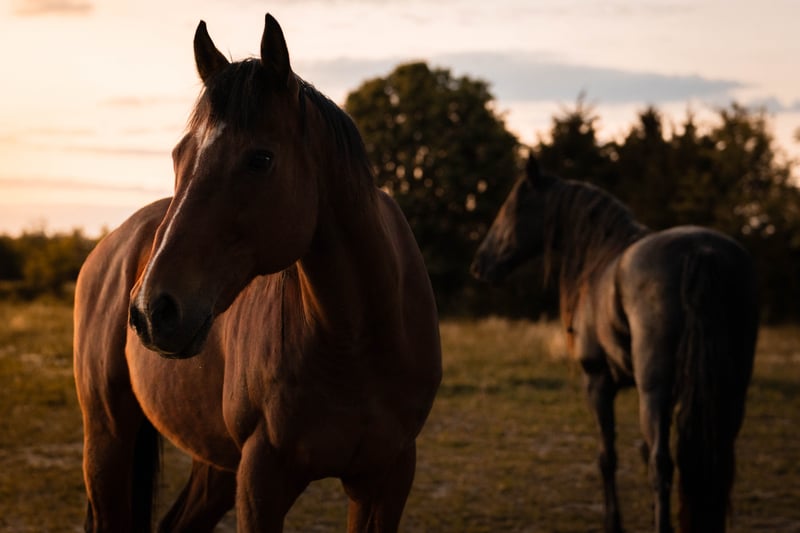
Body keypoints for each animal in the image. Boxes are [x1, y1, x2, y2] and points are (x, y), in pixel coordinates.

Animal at [73, 14, 441, 532]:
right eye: (179, 155)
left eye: (260, 158)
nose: (151, 311)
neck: (356, 342)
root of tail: (111, 246)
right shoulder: (261, 480)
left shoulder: (386, 481)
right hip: (107, 439)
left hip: (214, 463)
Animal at [471, 154, 757, 533]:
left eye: (510, 208)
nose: (479, 264)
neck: (600, 259)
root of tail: (702, 251)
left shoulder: (598, 382)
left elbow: (608, 456)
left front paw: (613, 522)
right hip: (730, 389)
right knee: (716, 459)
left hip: (655, 390)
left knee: (661, 465)